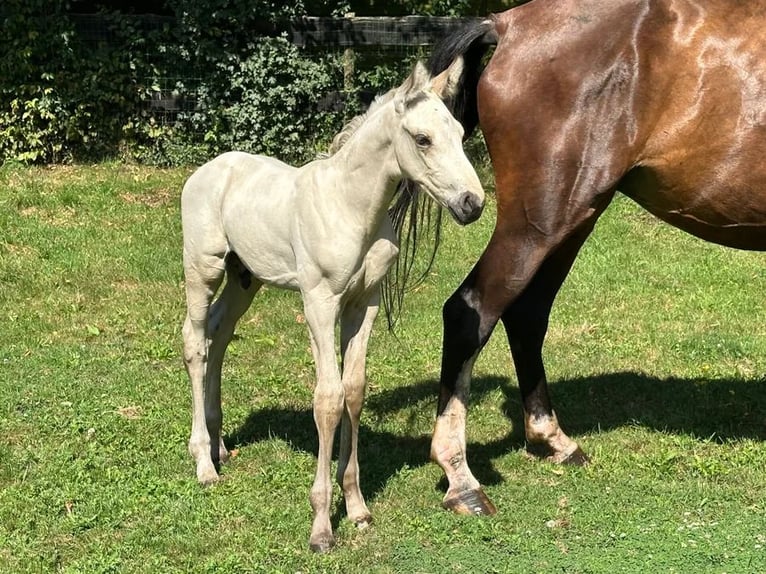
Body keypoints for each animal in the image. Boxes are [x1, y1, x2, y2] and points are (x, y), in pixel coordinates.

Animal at [181, 59, 486, 552]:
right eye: (422, 139)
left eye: (460, 134)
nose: (472, 203)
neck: (350, 207)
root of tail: (207, 170)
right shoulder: (319, 303)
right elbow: (327, 399)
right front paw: (322, 526)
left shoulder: (365, 304)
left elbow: (353, 391)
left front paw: (358, 508)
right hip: (203, 267)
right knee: (194, 342)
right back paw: (204, 463)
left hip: (244, 278)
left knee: (218, 334)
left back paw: (218, 444)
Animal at [426, 0, 766, 516]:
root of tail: (507, 25)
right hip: (539, 223)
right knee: (470, 312)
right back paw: (461, 478)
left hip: (573, 219)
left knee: (526, 315)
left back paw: (554, 440)